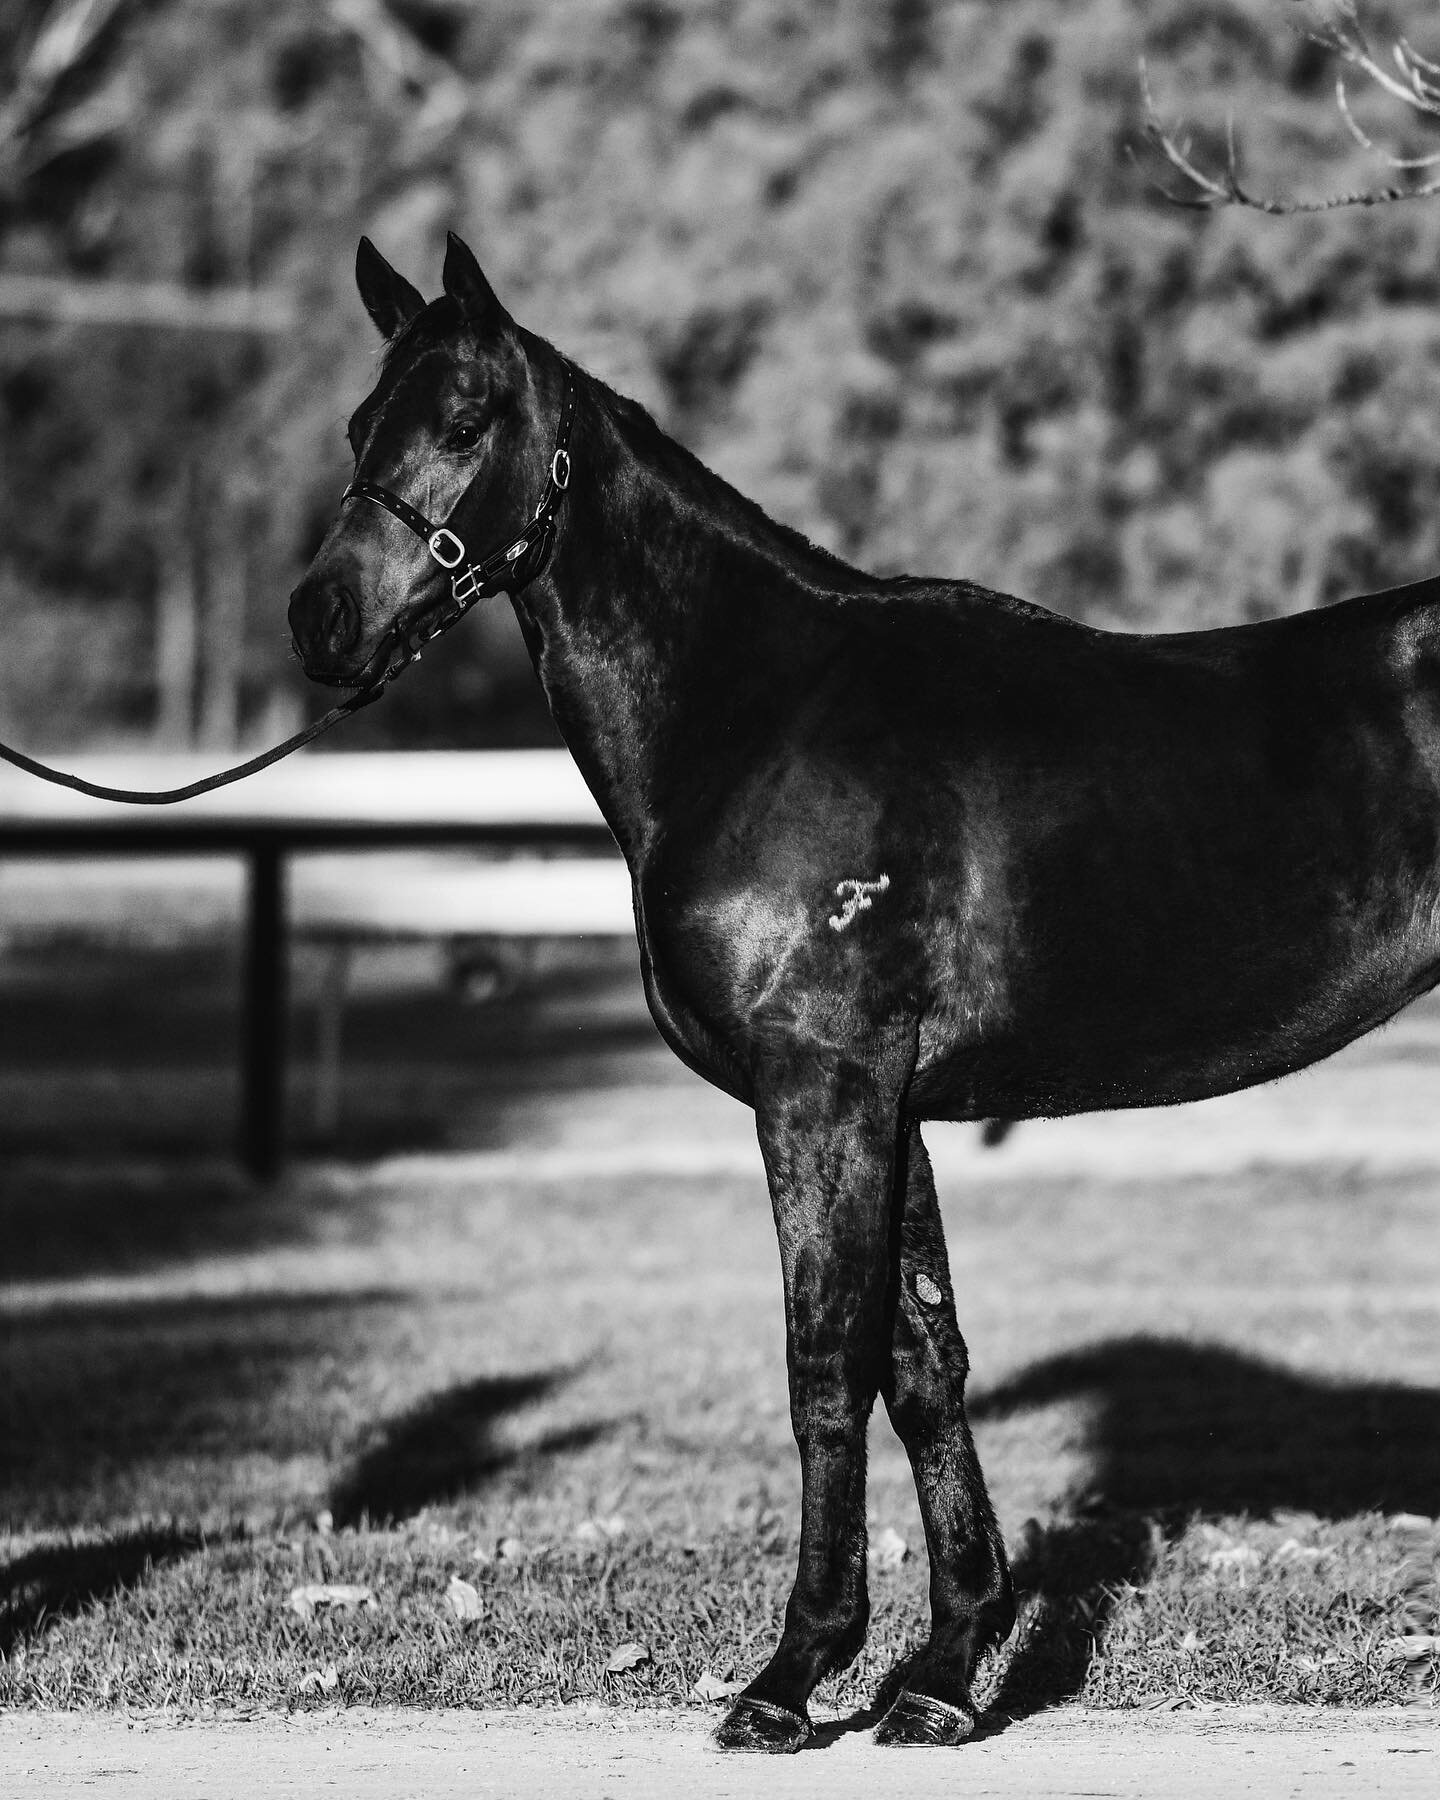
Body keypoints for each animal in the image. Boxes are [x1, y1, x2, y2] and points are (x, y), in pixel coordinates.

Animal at [289, 232, 1440, 1749]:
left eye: (470, 418)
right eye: (361, 425)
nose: (322, 620)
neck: (764, 709)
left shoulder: (821, 1089)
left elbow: (828, 1366)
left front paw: (791, 1679)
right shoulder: (889, 1101)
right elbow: (923, 1361)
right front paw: (946, 1671)